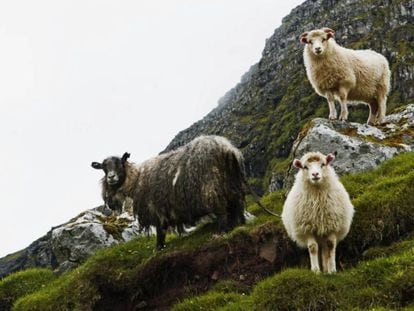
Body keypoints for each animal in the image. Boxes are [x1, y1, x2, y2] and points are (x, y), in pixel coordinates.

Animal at [90, 135, 247, 250]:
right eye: (104, 168)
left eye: (120, 164)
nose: (111, 177)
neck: (136, 179)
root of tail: (227, 149)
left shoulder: (156, 209)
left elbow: (161, 230)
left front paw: (158, 247)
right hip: (232, 186)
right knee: (237, 205)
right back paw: (240, 223)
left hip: (211, 188)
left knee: (221, 211)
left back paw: (222, 231)